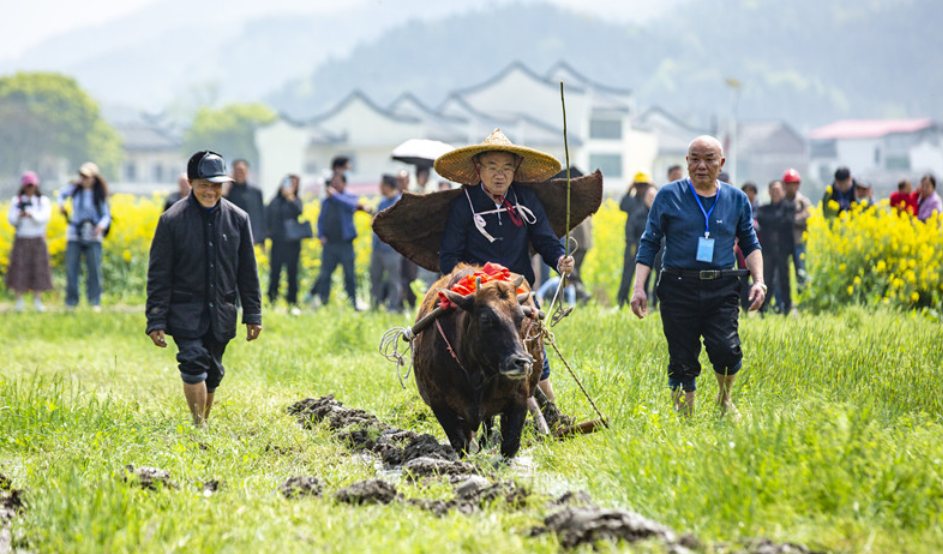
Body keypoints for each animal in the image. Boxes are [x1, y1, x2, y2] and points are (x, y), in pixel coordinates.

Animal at [414, 264, 544, 458]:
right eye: (485, 318)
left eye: (521, 317)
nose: (521, 362)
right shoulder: (439, 403)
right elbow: (460, 443)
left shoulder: (519, 398)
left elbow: (510, 445)